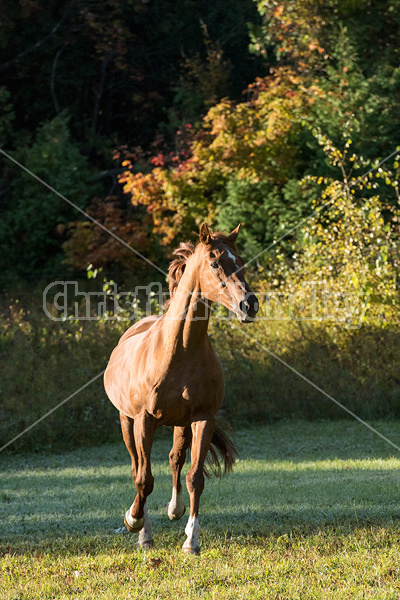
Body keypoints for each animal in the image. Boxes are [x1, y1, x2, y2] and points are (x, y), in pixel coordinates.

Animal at [104, 223, 258, 556]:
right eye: (215, 263)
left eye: (240, 261)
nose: (249, 305)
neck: (178, 351)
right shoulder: (144, 420)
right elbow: (144, 479)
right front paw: (134, 521)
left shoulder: (202, 418)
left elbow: (194, 477)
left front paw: (191, 540)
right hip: (126, 421)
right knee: (137, 467)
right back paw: (143, 532)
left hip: (180, 424)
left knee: (175, 458)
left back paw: (174, 510)